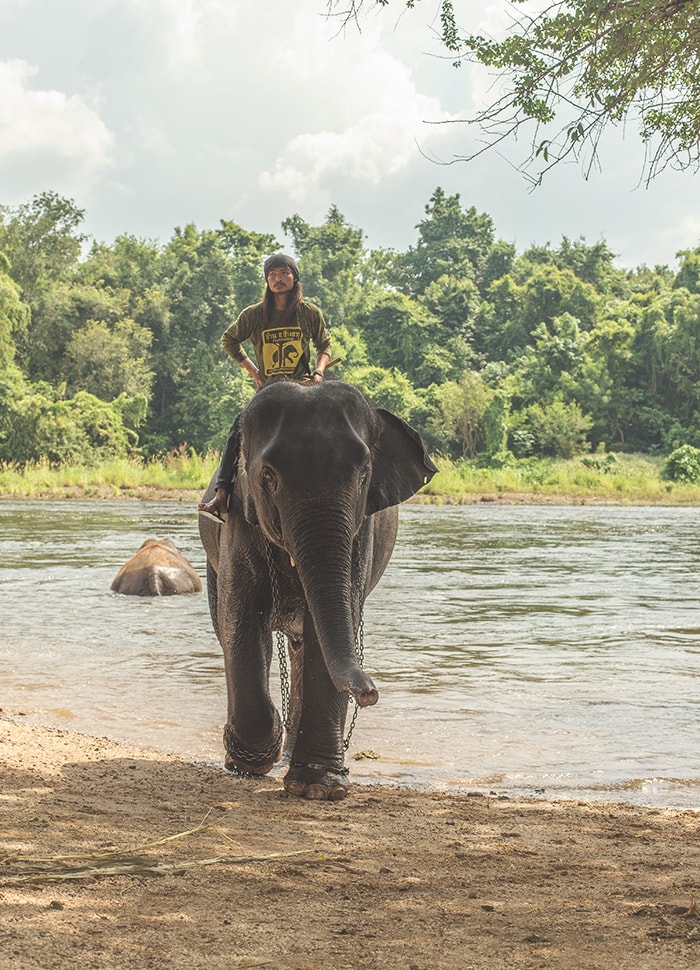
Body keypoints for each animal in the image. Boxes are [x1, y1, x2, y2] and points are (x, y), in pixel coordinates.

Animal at [199, 379, 437, 800]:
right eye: (269, 477)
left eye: (363, 475)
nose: (370, 693)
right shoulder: (238, 520)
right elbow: (241, 620)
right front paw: (252, 760)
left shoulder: (361, 533)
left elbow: (331, 627)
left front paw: (319, 789)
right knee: (226, 628)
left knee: (303, 645)